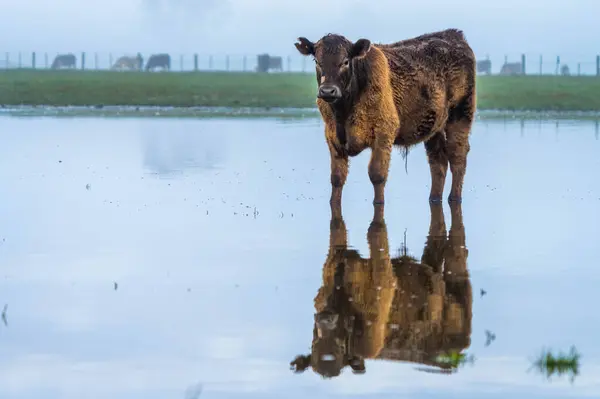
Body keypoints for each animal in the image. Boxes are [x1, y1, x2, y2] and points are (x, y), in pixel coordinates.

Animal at [292, 28, 476, 206]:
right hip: (434, 129)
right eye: (317, 61)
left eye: (345, 61)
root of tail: (454, 35)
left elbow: (377, 175)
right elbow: (337, 178)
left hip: (460, 116)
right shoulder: (333, 139)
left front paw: (379, 203)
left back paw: (454, 198)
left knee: (457, 157)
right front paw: (334, 202)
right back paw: (434, 198)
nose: (328, 91)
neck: (343, 112)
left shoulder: (384, 133)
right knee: (438, 163)